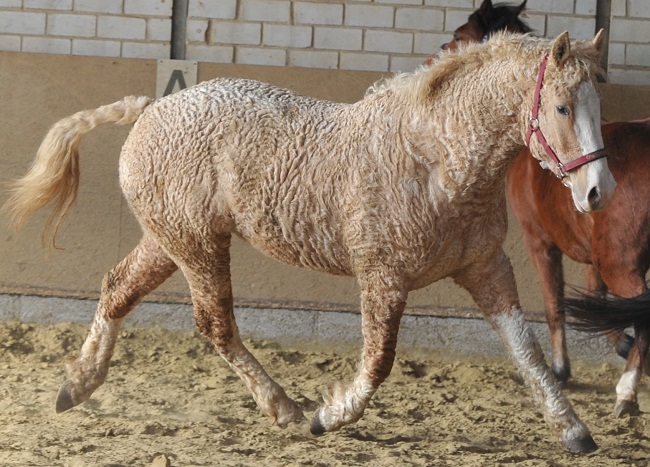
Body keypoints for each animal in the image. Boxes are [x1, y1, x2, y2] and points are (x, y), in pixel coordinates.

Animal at [2, 32, 613, 453]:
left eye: (597, 107)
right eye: (562, 107)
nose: (597, 192)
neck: (436, 159)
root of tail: (150, 108)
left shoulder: (486, 268)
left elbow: (527, 351)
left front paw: (575, 431)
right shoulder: (383, 277)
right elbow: (378, 362)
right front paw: (329, 415)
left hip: (169, 241)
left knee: (117, 291)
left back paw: (77, 386)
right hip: (196, 245)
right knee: (214, 323)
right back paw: (285, 409)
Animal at [508, 119, 650, 418]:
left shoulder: (539, 243)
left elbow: (555, 306)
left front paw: (560, 369)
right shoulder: (592, 257)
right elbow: (594, 301)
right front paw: (624, 344)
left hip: (618, 266)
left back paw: (626, 392)